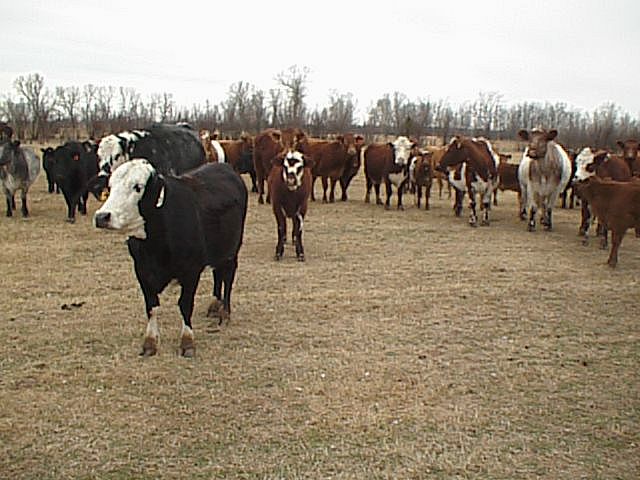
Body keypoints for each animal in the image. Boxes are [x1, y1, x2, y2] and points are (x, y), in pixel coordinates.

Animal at [94, 159, 246, 358]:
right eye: (110, 187)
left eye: (138, 187)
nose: (102, 217)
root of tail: (224, 167)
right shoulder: (141, 270)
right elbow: (151, 306)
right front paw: (150, 342)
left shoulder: (191, 271)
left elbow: (185, 305)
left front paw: (187, 342)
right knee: (217, 274)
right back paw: (214, 305)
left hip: (232, 250)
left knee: (227, 278)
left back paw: (225, 313)